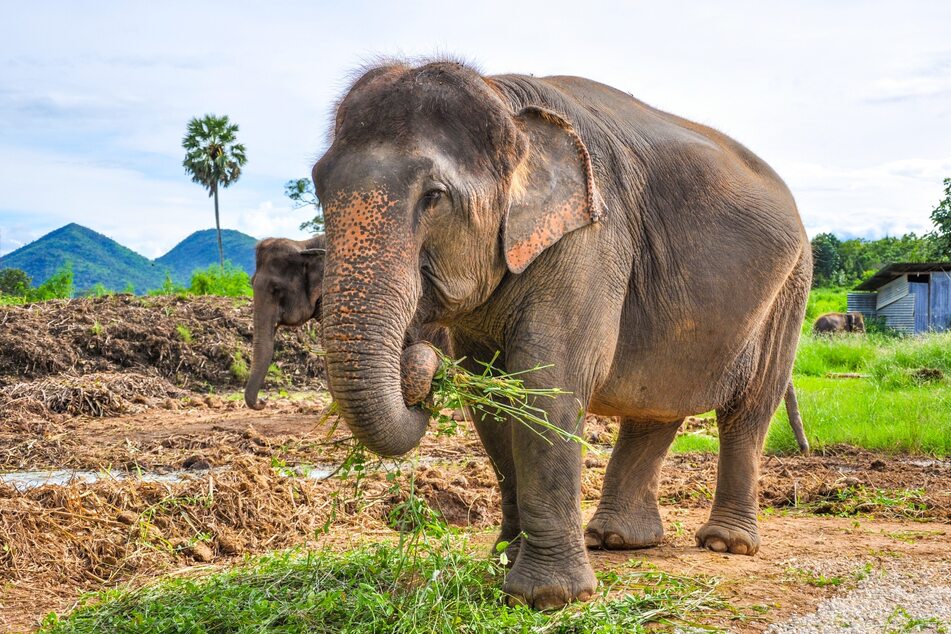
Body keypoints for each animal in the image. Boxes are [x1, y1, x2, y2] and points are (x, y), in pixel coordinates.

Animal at [312, 60, 812, 609]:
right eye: (319, 186)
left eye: (434, 197)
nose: (418, 364)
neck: (504, 101)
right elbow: (492, 398)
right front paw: (504, 561)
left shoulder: (591, 238)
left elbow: (547, 383)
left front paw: (547, 598)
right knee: (655, 403)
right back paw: (615, 540)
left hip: (790, 289)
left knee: (749, 408)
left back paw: (725, 544)